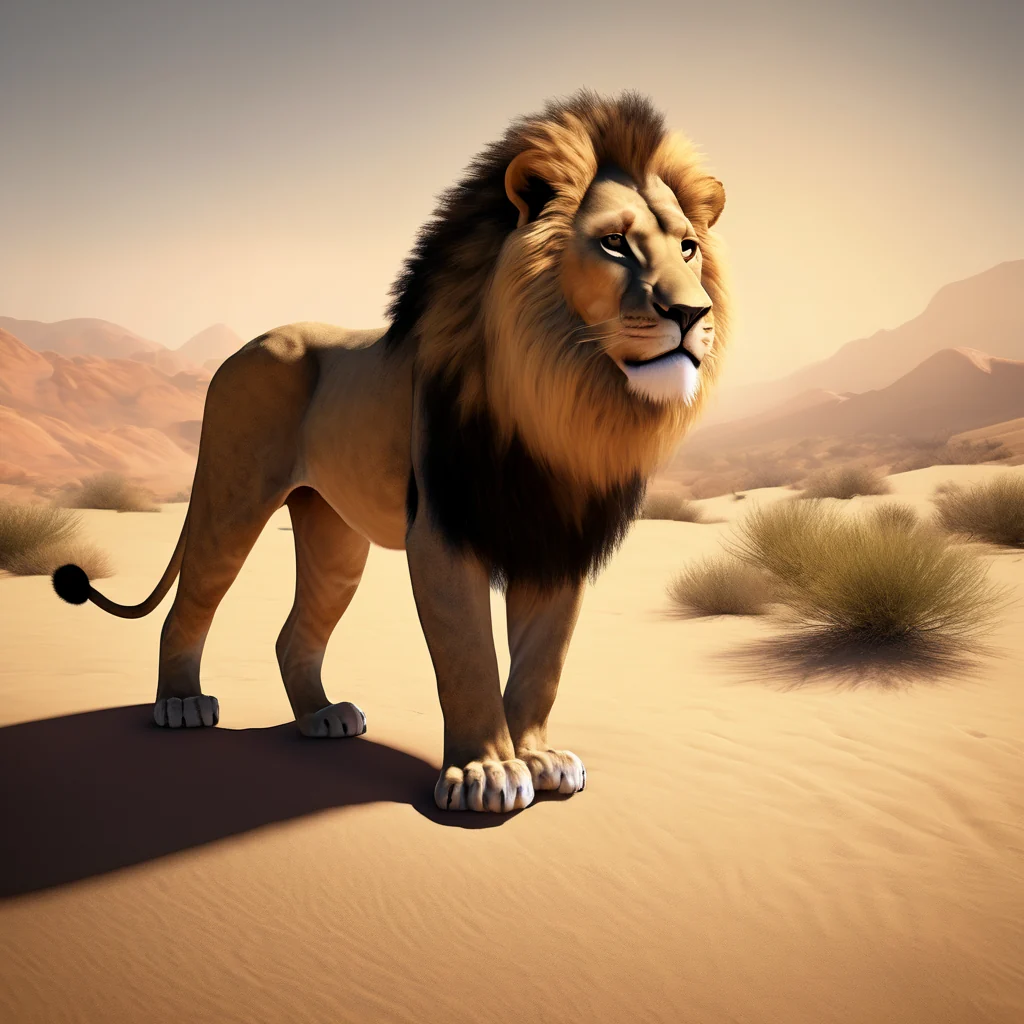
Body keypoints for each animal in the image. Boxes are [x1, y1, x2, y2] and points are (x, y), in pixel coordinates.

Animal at [52, 90, 730, 813]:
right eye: (613, 243)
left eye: (688, 248)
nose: (693, 313)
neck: (558, 395)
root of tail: (241, 349)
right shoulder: (443, 529)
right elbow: (468, 656)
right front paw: (486, 772)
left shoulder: (555, 533)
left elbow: (542, 661)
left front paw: (537, 757)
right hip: (231, 495)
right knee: (191, 604)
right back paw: (180, 703)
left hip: (333, 535)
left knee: (295, 632)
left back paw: (321, 716)